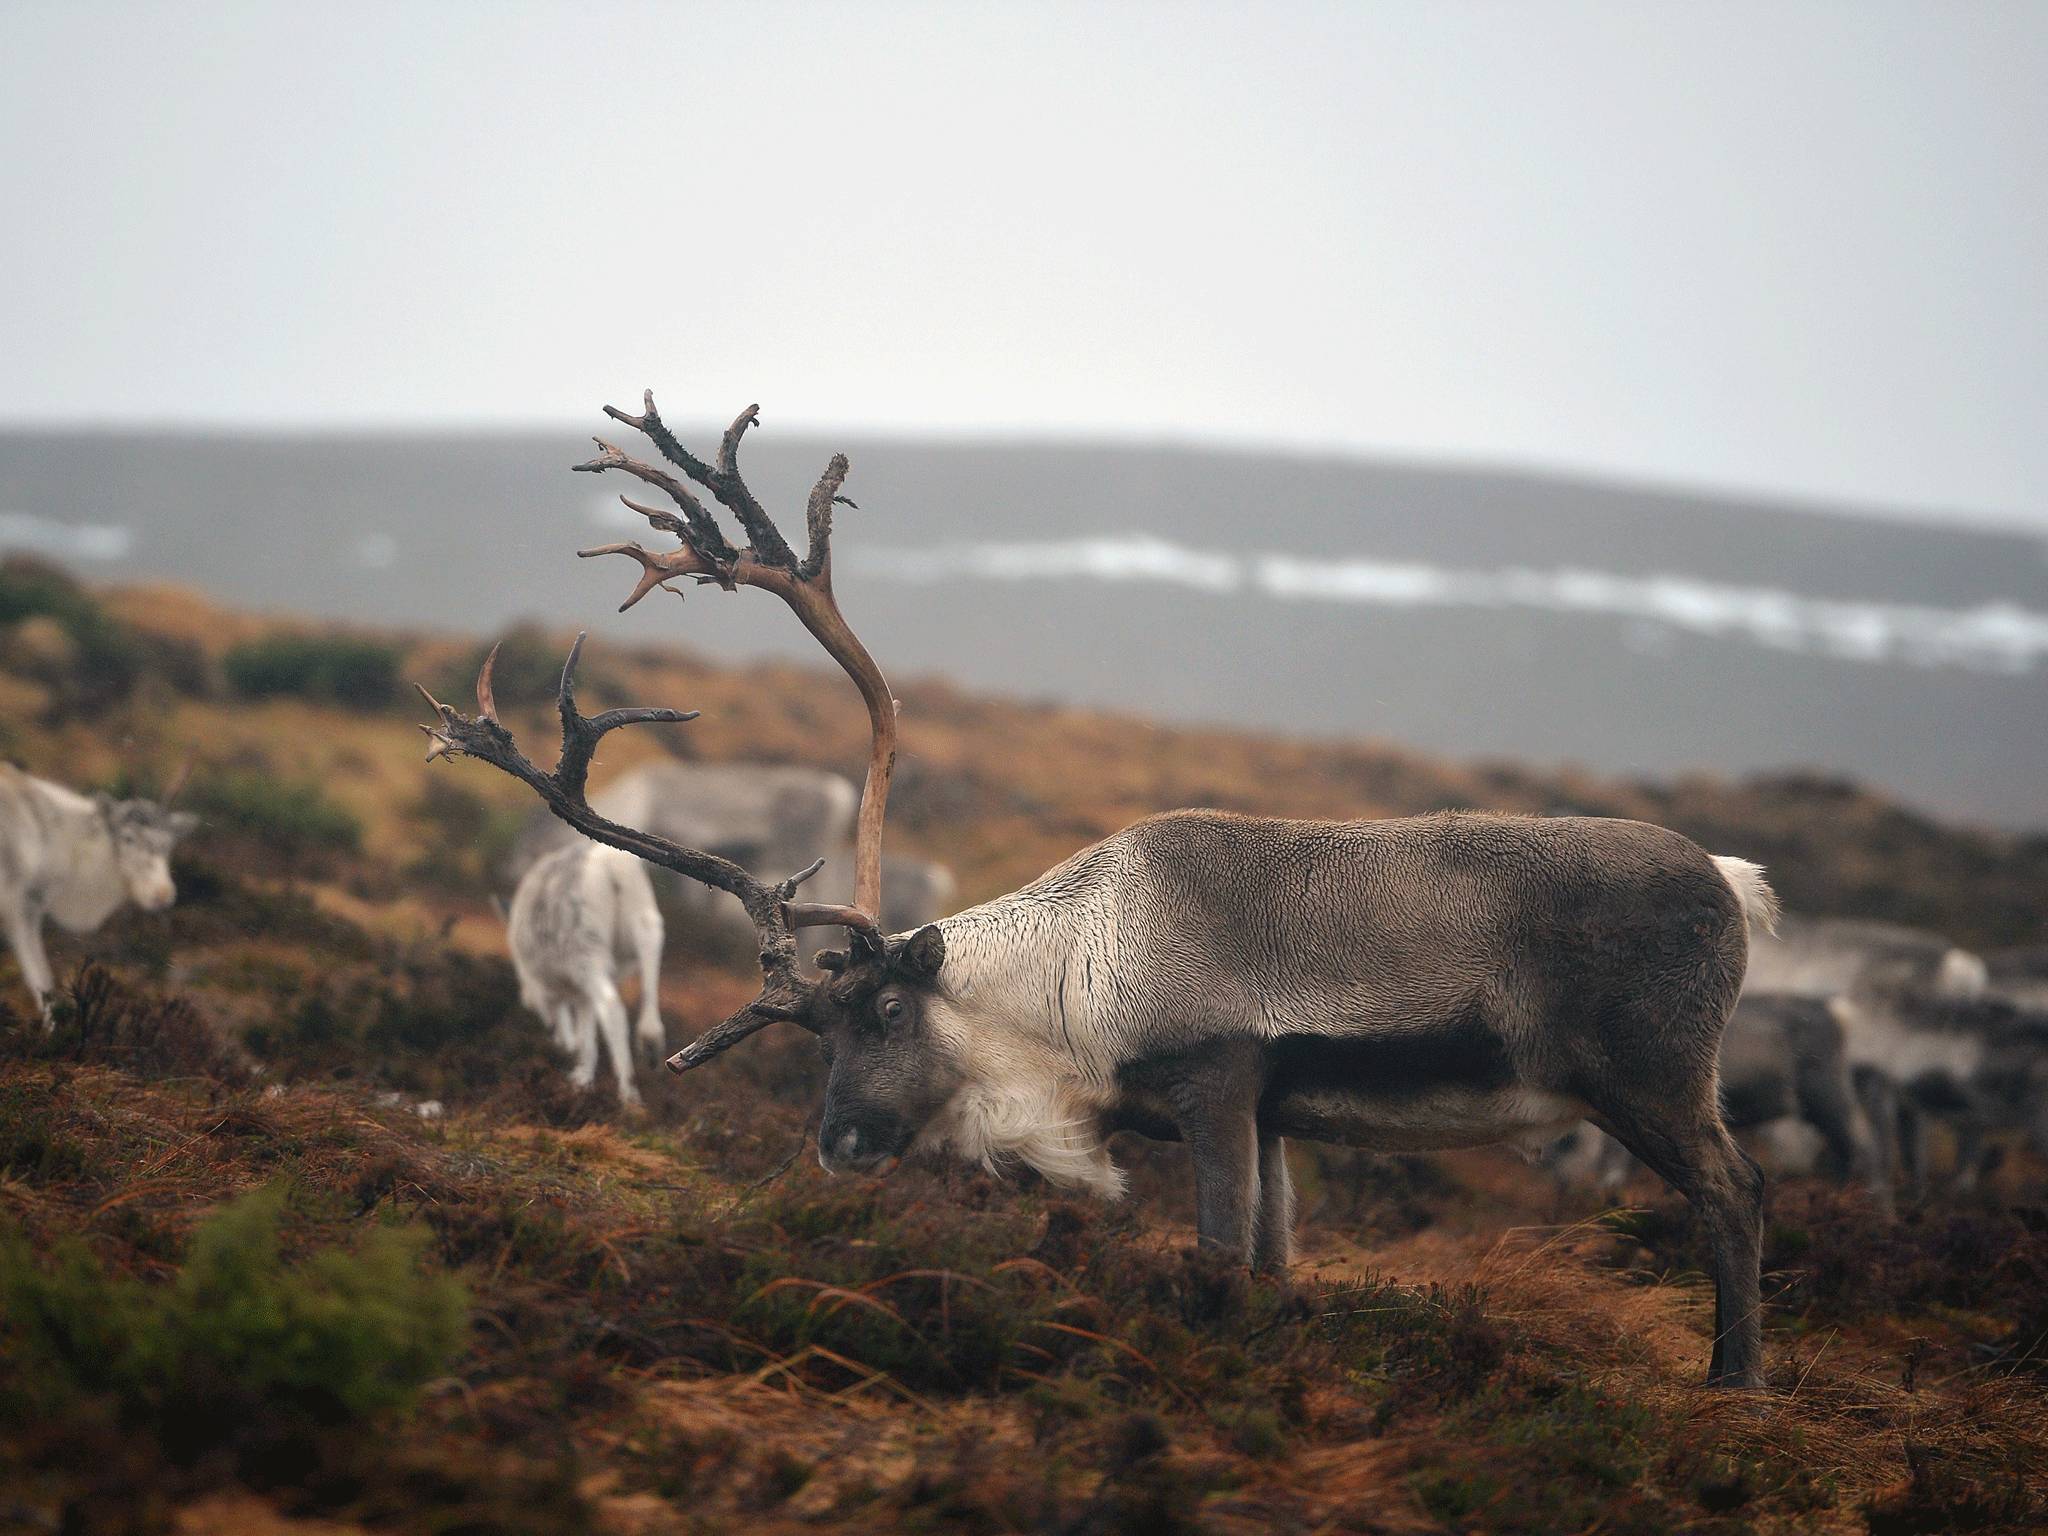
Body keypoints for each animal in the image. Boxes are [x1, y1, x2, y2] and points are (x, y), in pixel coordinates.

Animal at [417, 394, 1781, 1388]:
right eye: (810, 1031)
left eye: (884, 1011)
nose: (838, 1145)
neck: (1072, 976)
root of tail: (1734, 881)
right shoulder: (1274, 1112)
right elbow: (1274, 1266)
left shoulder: (1219, 1079)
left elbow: (1221, 1258)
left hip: (1649, 1073)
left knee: (1735, 1192)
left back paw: (1734, 1383)